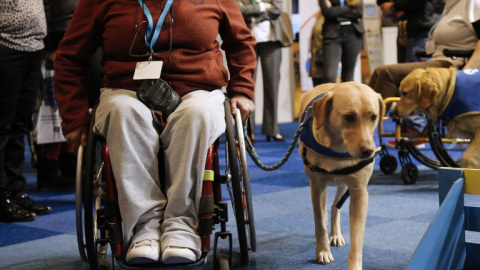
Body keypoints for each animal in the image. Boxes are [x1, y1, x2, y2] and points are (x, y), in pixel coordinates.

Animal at [298, 82, 384, 270]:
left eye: (374, 117)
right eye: (349, 117)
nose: (368, 151)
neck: (337, 150)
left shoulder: (359, 193)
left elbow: (357, 238)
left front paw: (355, 265)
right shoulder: (317, 186)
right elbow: (319, 224)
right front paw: (323, 252)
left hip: (344, 185)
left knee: (335, 207)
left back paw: (336, 234)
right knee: (325, 210)